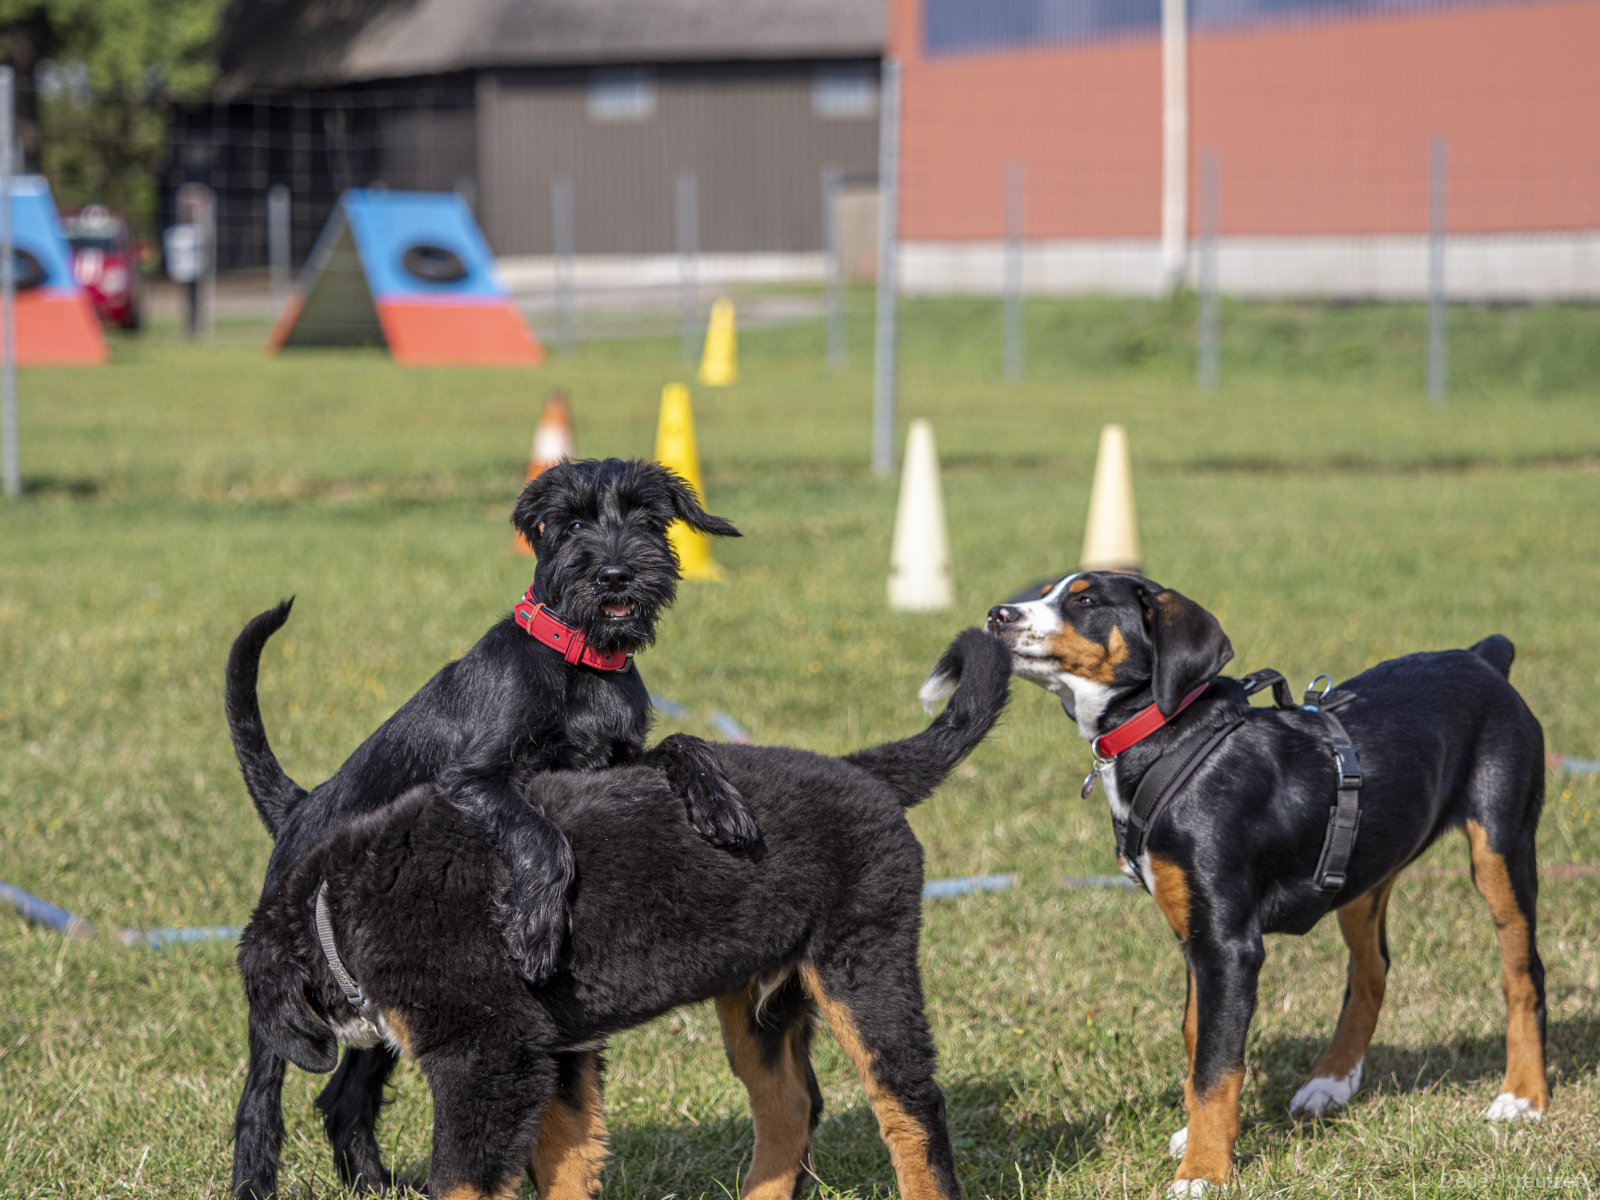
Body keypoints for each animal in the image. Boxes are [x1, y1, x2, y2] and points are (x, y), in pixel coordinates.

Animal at [225, 457, 759, 1191]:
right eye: (571, 523)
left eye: (648, 517)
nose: (616, 574)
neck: (578, 661)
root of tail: (300, 806)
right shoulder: (476, 779)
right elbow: (544, 838)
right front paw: (534, 929)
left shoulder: (614, 763)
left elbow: (683, 742)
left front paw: (721, 804)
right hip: (286, 1004)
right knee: (261, 1100)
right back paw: (255, 1181)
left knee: (343, 1095)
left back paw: (376, 1185)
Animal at [230, 628, 1011, 1200]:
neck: (341, 908)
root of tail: (859, 768)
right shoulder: (552, 1050)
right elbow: (567, 1159)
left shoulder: (488, 1059)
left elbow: (461, 1183)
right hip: (760, 994)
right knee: (791, 1105)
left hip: (863, 962)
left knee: (910, 1104)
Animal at [978, 571, 1547, 1196]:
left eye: (1083, 600)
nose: (996, 615)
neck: (1170, 740)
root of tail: (1481, 658)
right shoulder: (1196, 937)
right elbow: (1198, 1040)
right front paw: (1200, 1137)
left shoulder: (1228, 946)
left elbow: (1215, 1067)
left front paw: (1201, 1171)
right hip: (1364, 874)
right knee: (1371, 972)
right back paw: (1331, 1082)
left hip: (1500, 849)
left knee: (1524, 975)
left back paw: (1522, 1097)